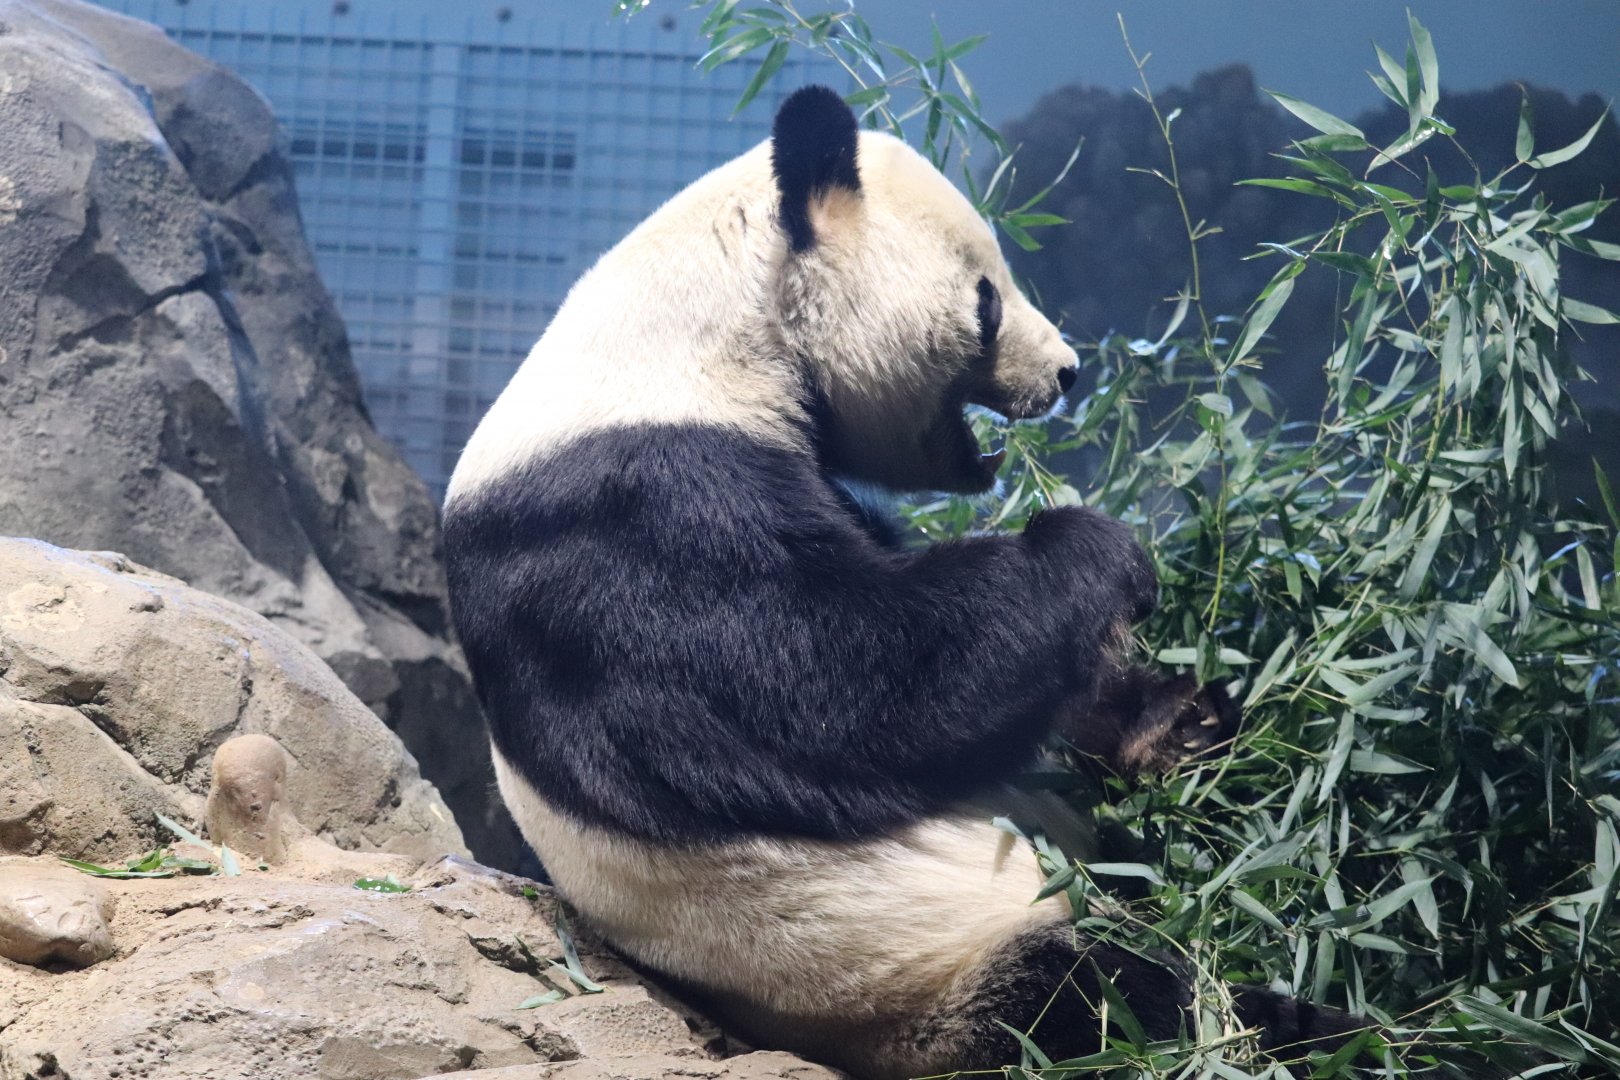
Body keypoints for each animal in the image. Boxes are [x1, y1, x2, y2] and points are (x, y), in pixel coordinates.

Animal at [443, 86, 1354, 1078]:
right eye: (987, 299)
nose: (1069, 371)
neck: (709, 332)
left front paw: (1176, 718)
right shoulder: (635, 515)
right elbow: (847, 686)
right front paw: (1101, 553)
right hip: (914, 969)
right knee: (1118, 1000)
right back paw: (1314, 1023)